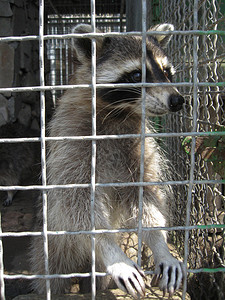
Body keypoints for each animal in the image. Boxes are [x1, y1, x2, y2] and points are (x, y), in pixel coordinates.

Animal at [30, 24, 185, 298]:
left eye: (166, 72)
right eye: (136, 74)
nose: (177, 100)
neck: (120, 113)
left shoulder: (140, 149)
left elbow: (147, 198)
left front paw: (160, 244)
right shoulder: (72, 143)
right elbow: (77, 205)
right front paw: (112, 252)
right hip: (52, 248)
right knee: (51, 275)